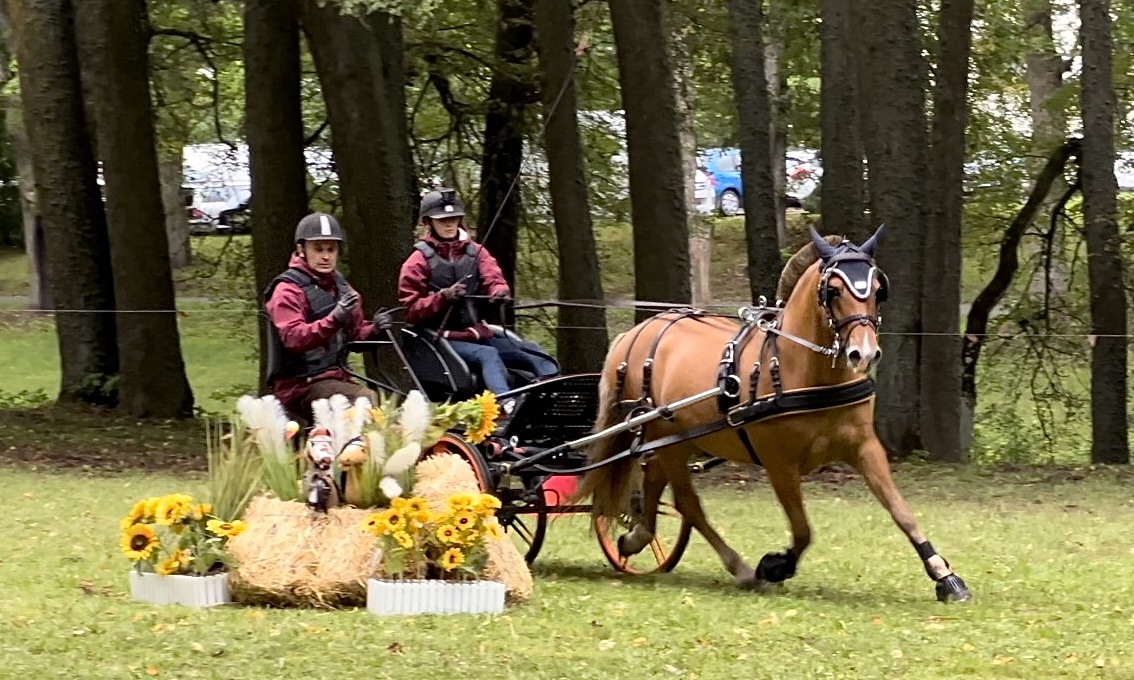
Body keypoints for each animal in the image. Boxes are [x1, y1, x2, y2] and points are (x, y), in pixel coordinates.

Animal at [580, 225, 970, 602]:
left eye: (877, 290)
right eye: (833, 291)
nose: (864, 353)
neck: (803, 370)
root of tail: (634, 333)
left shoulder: (865, 448)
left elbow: (901, 511)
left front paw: (945, 576)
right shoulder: (779, 463)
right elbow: (802, 530)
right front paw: (775, 566)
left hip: (671, 441)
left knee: (656, 493)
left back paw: (637, 537)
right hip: (667, 441)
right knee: (689, 504)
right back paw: (737, 567)